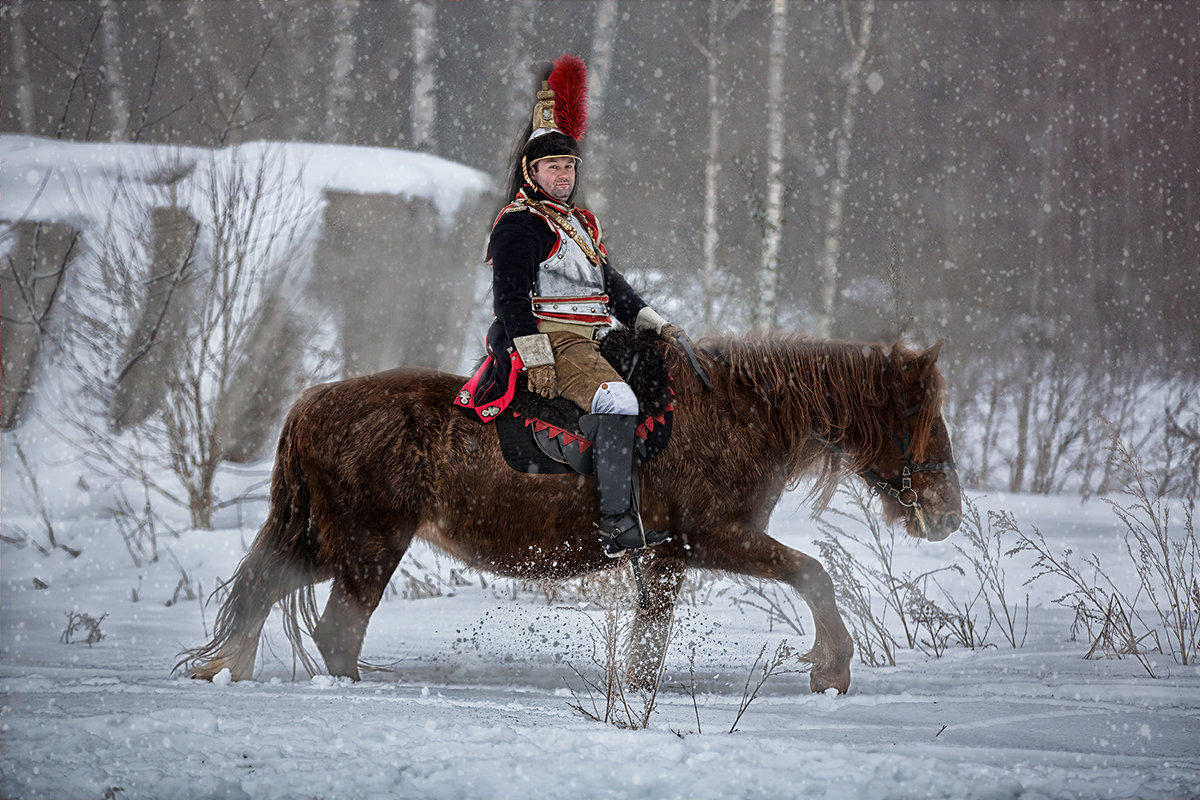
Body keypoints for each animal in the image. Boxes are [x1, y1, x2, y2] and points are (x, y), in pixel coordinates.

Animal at [180, 335, 964, 690]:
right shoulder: (709, 540)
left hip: (327, 544)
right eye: (920, 418)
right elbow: (814, 575)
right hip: (366, 548)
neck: (737, 416)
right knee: (334, 630)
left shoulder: (665, 558)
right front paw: (832, 666)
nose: (947, 513)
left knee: (265, 591)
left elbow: (649, 645)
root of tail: (312, 402)